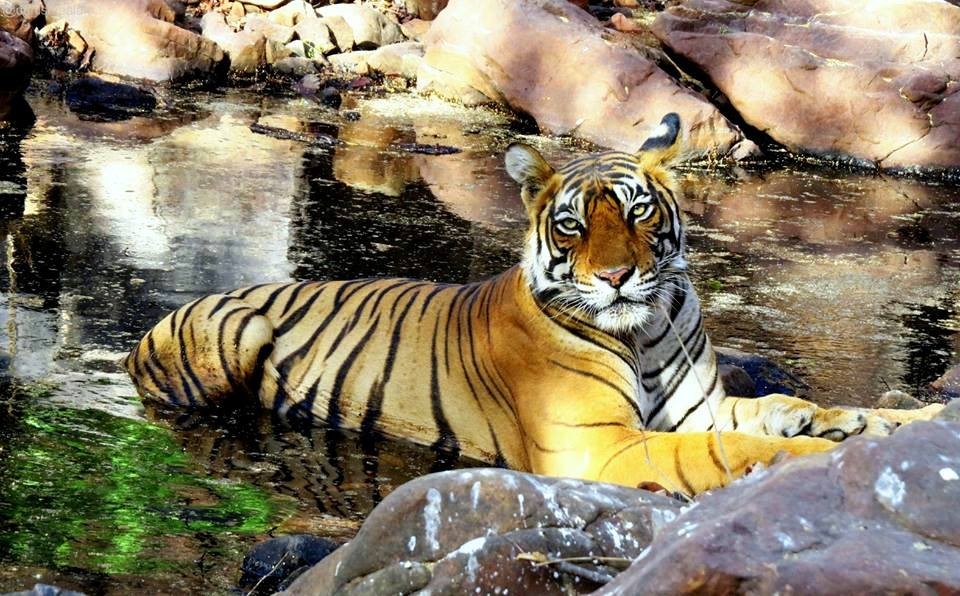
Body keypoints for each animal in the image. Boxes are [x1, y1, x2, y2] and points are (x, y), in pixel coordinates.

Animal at [123, 113, 941, 496]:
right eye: (573, 224)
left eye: (638, 212)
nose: (616, 278)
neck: (644, 333)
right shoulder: (600, 445)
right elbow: (729, 450)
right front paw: (810, 454)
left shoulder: (702, 406)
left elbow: (784, 406)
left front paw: (883, 422)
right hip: (234, 343)